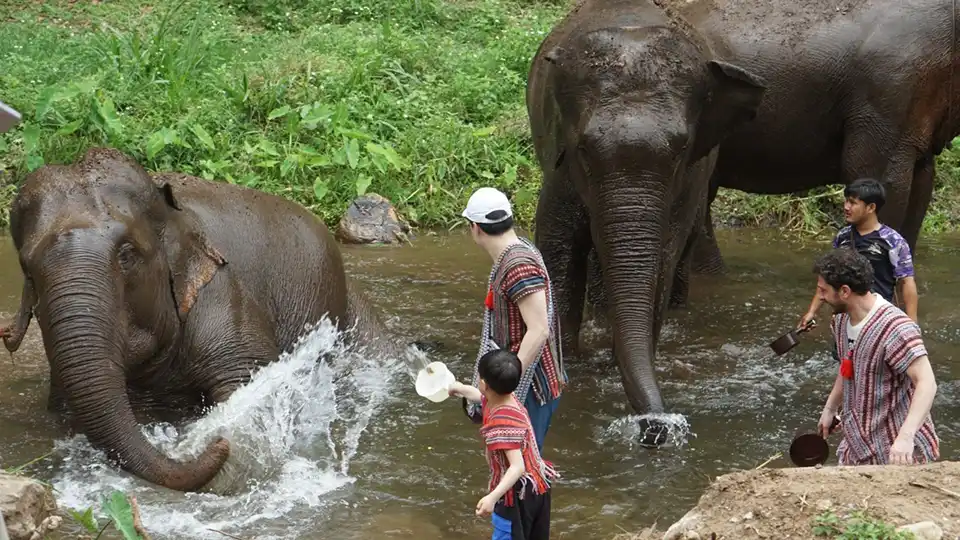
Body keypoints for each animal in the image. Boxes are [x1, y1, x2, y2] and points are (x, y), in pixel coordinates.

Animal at [527, 0, 767, 441]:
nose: (655, 427)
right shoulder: (558, 166)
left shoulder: (691, 177)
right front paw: (568, 369)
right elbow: (559, 249)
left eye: (682, 149)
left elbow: (663, 258)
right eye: (582, 148)